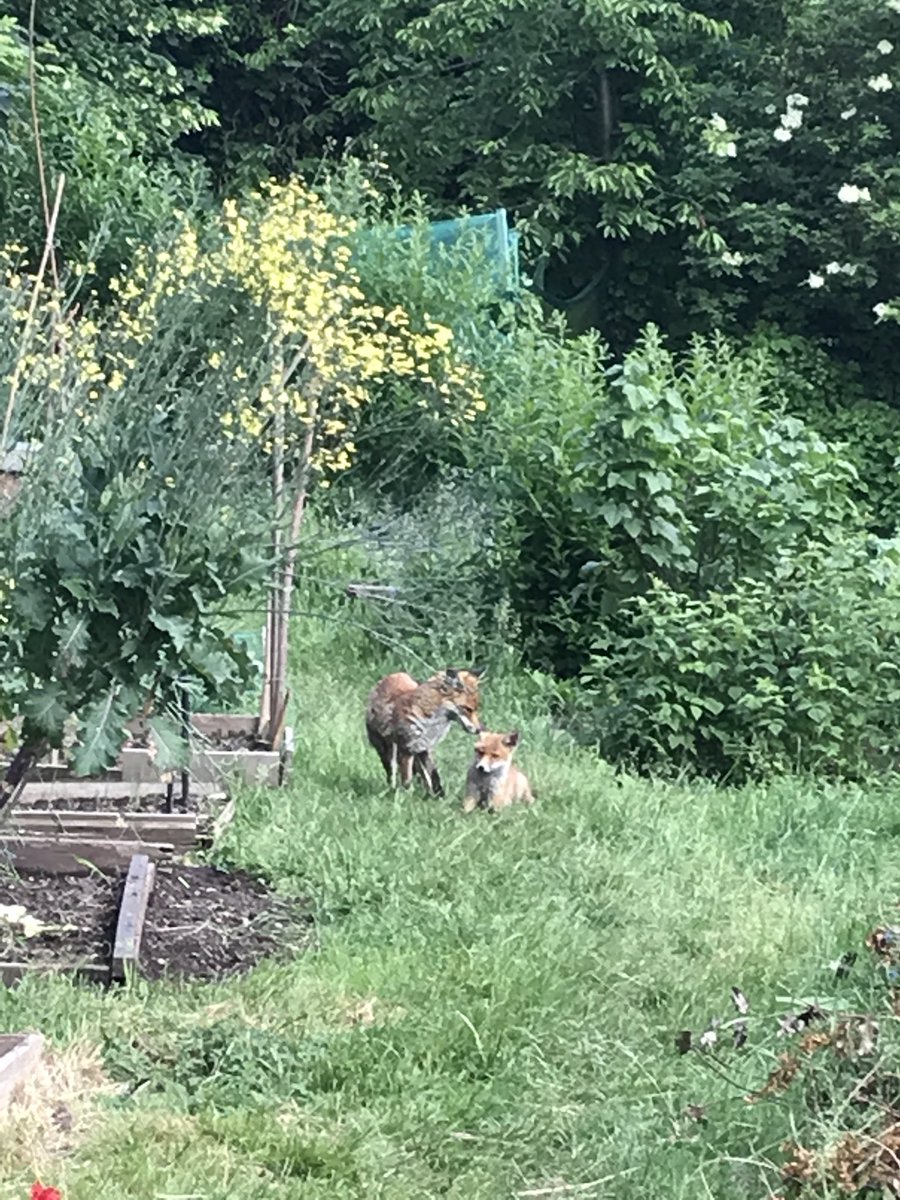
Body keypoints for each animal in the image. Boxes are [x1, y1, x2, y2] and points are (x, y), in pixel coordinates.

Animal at [365, 667, 484, 796]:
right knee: (391, 772)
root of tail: (393, 675)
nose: (479, 730)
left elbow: (434, 776)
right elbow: (407, 781)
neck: (431, 723)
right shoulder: (407, 748)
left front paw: (439, 797)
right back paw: (392, 789)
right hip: (386, 749)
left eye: (476, 709)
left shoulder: (425, 747)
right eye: (467, 709)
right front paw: (408, 798)